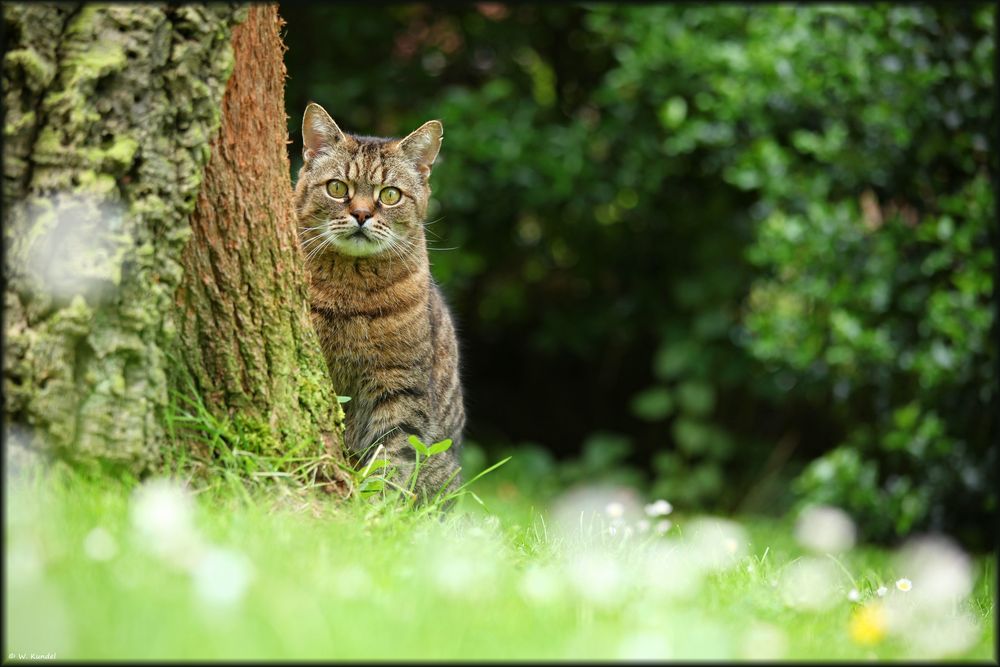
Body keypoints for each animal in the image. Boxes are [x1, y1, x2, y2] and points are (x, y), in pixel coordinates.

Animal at [292, 103, 464, 500]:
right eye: (337, 188)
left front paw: (375, 504)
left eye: (389, 195)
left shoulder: (401, 386)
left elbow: (393, 457)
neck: (351, 292)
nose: (361, 214)